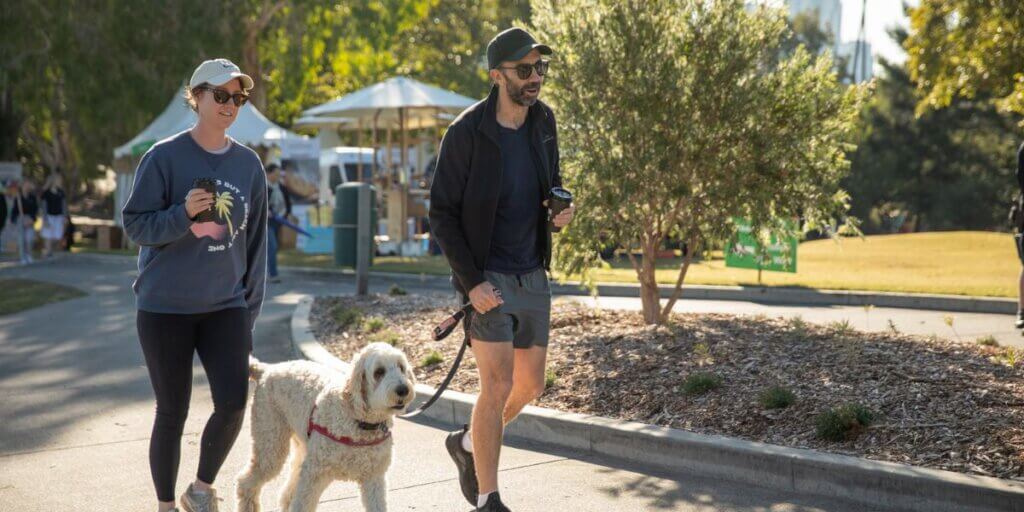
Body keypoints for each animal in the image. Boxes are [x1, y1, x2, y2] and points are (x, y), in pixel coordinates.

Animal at [235, 342, 415, 512]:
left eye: (401, 367)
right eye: (379, 372)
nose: (403, 390)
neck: (357, 420)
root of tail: (267, 369)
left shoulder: (373, 478)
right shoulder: (313, 474)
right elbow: (302, 505)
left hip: (300, 448)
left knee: (288, 492)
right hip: (271, 445)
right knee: (245, 482)